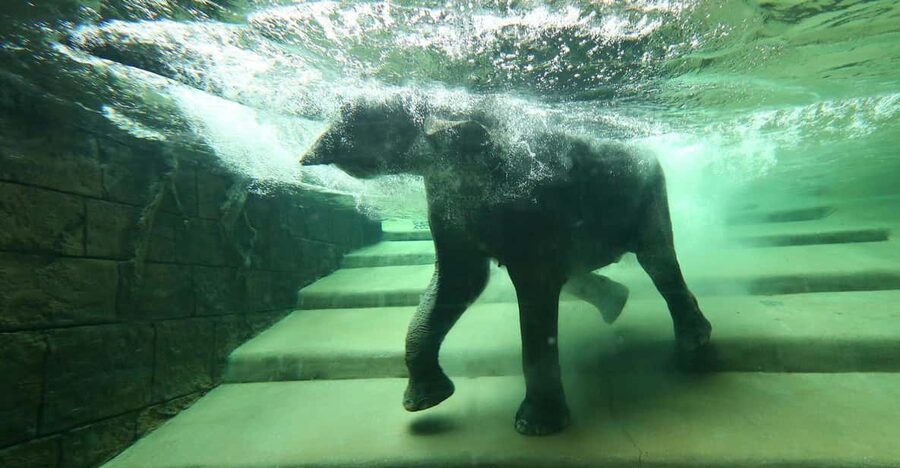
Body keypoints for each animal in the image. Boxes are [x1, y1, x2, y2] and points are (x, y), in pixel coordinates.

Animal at [302, 95, 712, 436]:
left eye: (372, 119)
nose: (307, 158)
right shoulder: (447, 197)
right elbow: (460, 280)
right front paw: (425, 403)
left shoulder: (531, 202)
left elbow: (533, 287)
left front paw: (536, 428)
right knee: (582, 272)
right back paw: (617, 304)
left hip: (650, 193)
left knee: (657, 259)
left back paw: (694, 343)